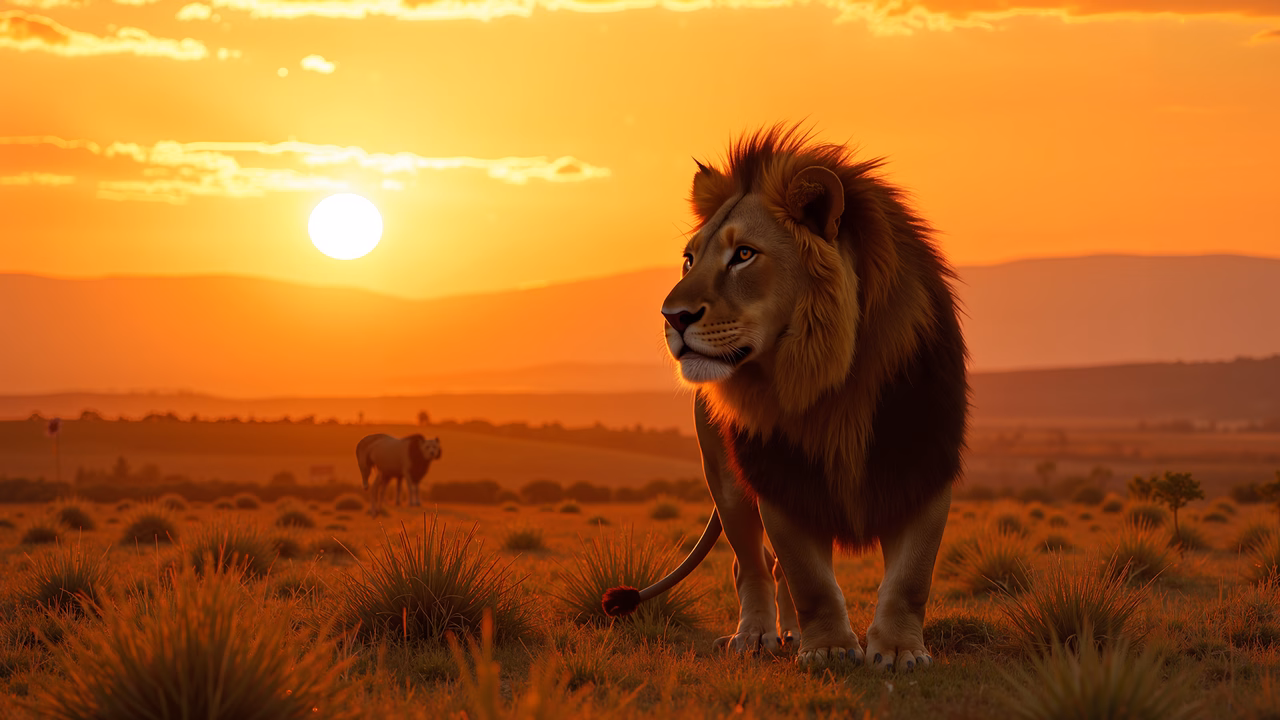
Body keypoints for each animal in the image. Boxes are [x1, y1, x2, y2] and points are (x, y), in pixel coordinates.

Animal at [603, 125, 968, 671]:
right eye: (690, 259)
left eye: (744, 255)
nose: (671, 317)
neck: (828, 377)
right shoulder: (779, 475)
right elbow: (807, 577)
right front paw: (831, 649)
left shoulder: (924, 465)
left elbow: (911, 576)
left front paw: (900, 652)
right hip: (726, 482)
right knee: (753, 567)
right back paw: (756, 637)